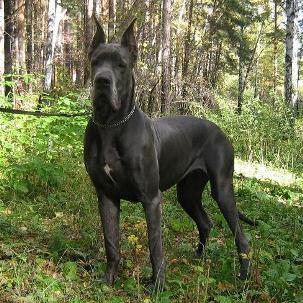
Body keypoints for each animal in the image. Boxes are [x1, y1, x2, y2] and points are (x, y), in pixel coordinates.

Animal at [83, 17, 256, 288]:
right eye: (95, 62)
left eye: (121, 65)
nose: (102, 81)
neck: (111, 125)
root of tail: (218, 129)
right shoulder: (106, 196)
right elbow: (111, 242)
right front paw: (108, 280)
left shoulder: (151, 198)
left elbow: (155, 245)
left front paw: (158, 285)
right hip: (187, 192)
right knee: (205, 222)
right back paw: (199, 258)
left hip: (222, 189)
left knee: (240, 235)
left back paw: (244, 276)